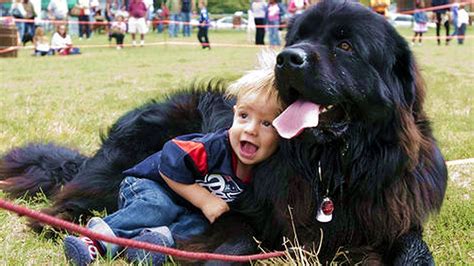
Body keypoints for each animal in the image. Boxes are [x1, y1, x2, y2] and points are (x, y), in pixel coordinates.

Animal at [0, 1, 446, 264]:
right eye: (299, 36)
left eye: (346, 46)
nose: (288, 58)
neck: (331, 166)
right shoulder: (242, 214)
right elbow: (239, 239)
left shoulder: (391, 215)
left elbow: (414, 248)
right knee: (71, 202)